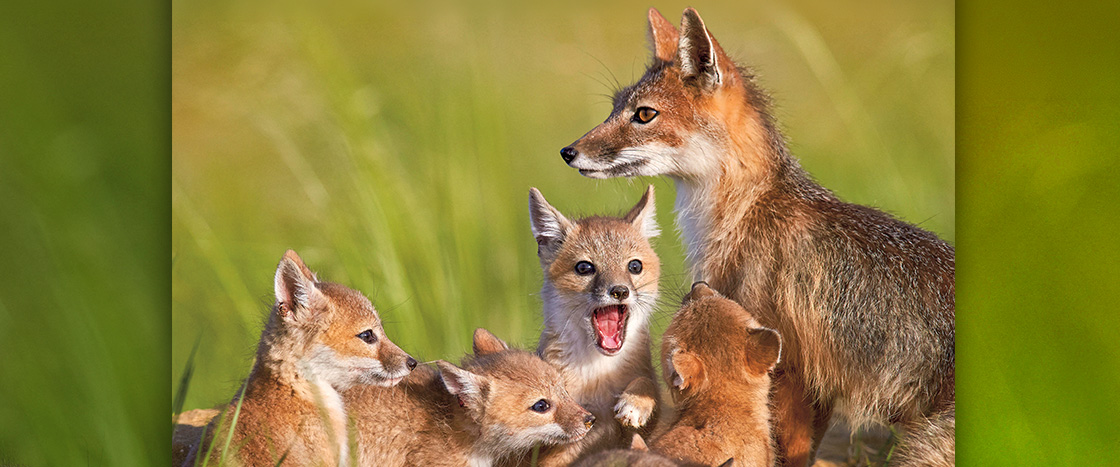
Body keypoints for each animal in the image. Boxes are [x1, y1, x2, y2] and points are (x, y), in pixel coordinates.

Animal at [526, 185, 662, 466]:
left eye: (635, 266)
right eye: (584, 267)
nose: (619, 291)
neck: (599, 373)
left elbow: (648, 382)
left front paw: (634, 403)